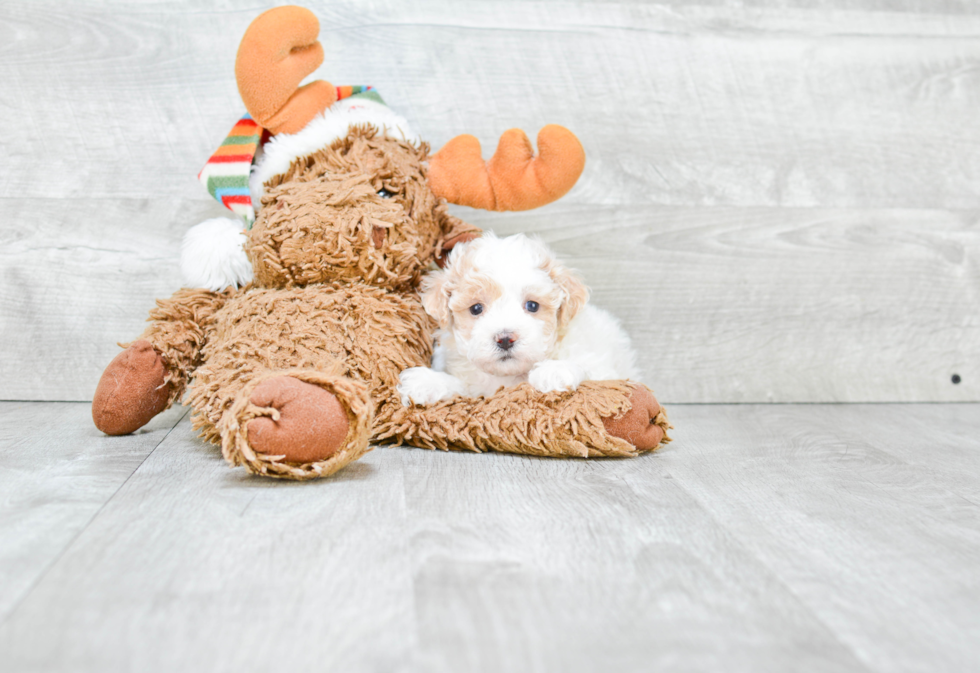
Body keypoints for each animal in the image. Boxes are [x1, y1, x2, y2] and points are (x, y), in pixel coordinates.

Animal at [400, 232, 644, 404]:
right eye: (476, 308)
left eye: (532, 306)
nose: (505, 338)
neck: (510, 375)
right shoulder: (479, 391)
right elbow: (461, 387)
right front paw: (427, 381)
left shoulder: (602, 368)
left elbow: (590, 371)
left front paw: (554, 370)